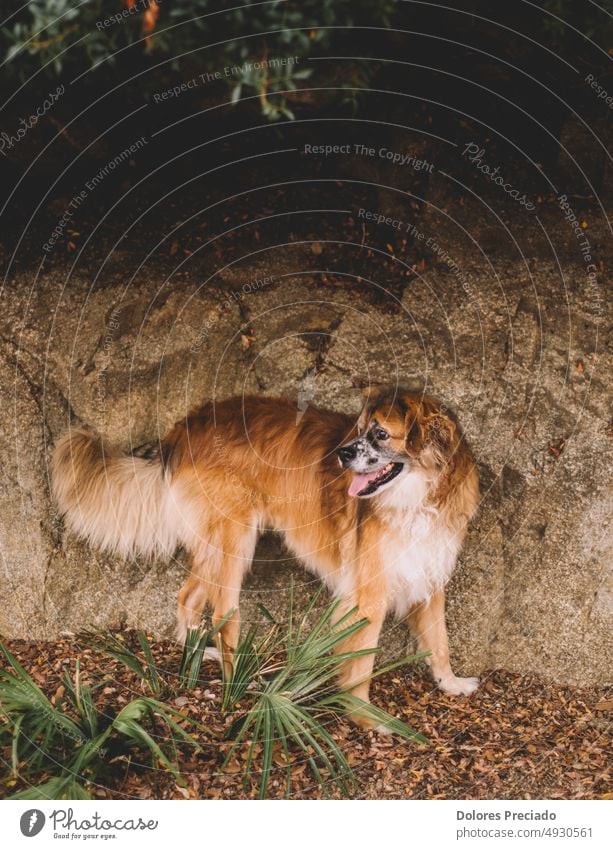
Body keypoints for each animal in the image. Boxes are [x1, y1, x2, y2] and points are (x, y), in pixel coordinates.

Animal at [52, 384, 480, 724]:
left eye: (379, 434)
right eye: (359, 431)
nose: (341, 455)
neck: (421, 498)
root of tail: (187, 424)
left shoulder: (429, 575)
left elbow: (440, 639)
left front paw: (450, 683)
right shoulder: (368, 592)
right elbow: (362, 661)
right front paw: (366, 717)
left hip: (213, 544)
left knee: (188, 597)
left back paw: (197, 656)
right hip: (234, 540)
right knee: (222, 613)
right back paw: (234, 681)